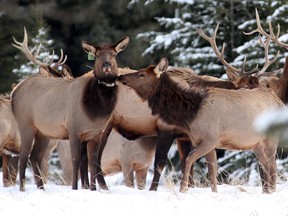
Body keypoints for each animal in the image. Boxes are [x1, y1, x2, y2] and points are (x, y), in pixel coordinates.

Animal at [10, 27, 129, 191]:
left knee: (35, 156)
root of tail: (15, 91)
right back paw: (22, 189)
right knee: (23, 155)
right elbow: (76, 160)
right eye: (97, 55)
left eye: (114, 54)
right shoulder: (74, 129)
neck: (94, 112)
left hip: (43, 132)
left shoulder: (95, 133)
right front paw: (75, 188)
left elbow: (93, 162)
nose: (107, 64)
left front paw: (92, 189)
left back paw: (41, 189)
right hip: (25, 123)